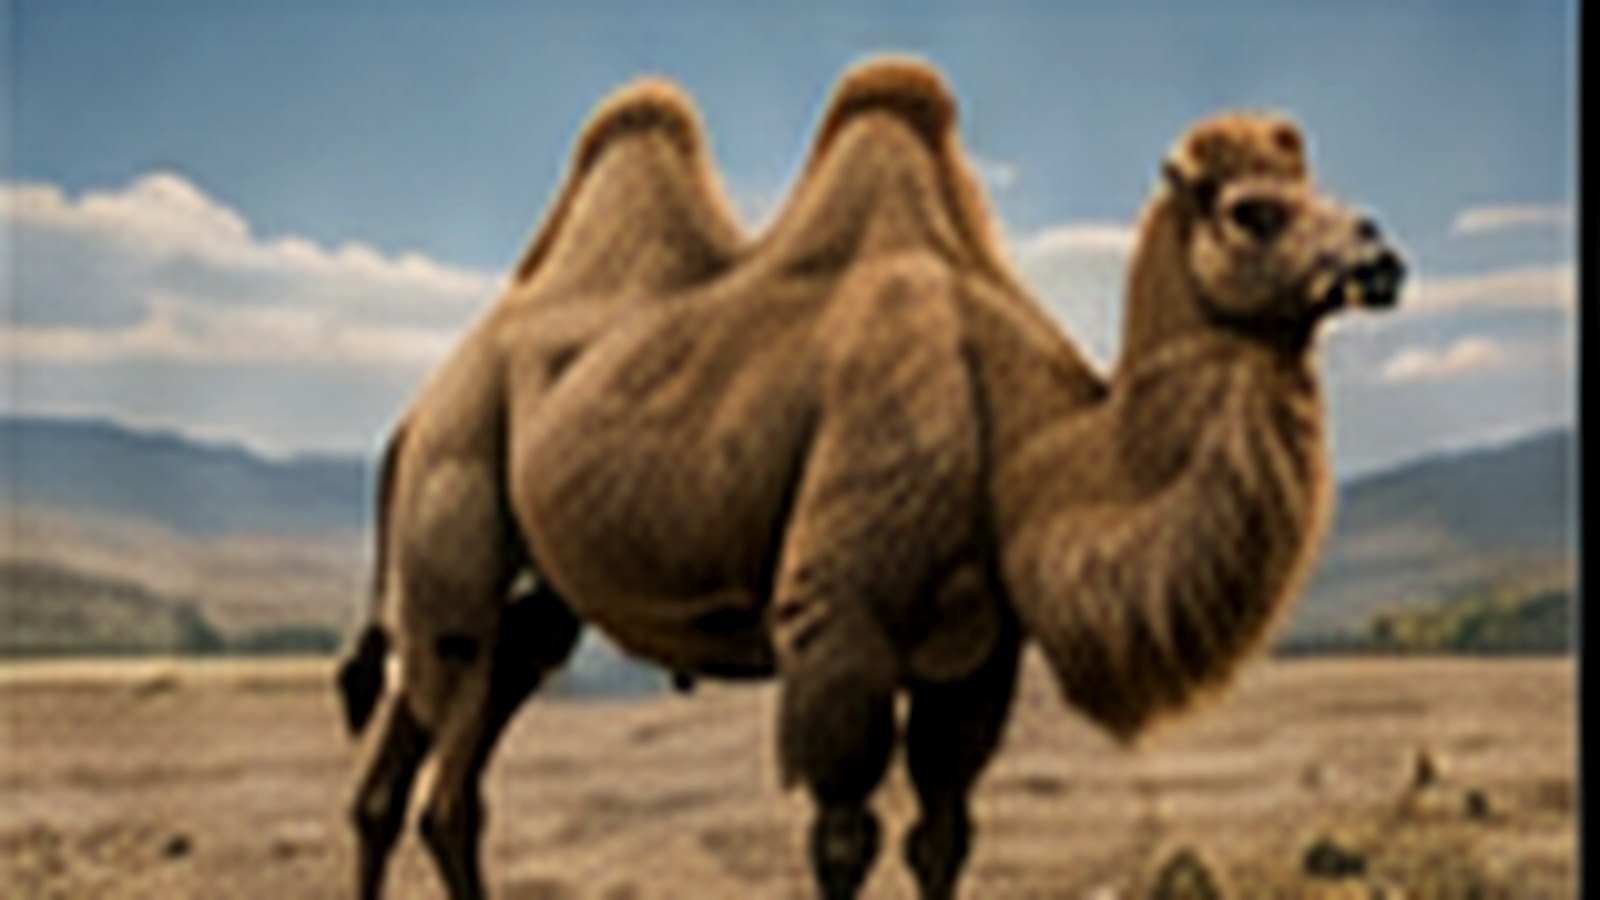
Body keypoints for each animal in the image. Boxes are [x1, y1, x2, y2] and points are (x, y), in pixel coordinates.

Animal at [337, 59, 1404, 900]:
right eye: (1254, 211)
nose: (1382, 257)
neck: (1010, 430)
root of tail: (413, 416)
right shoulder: (840, 625)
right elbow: (845, 842)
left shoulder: (979, 658)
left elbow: (945, 835)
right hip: (458, 499)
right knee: (446, 779)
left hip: (529, 602)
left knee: (408, 773)